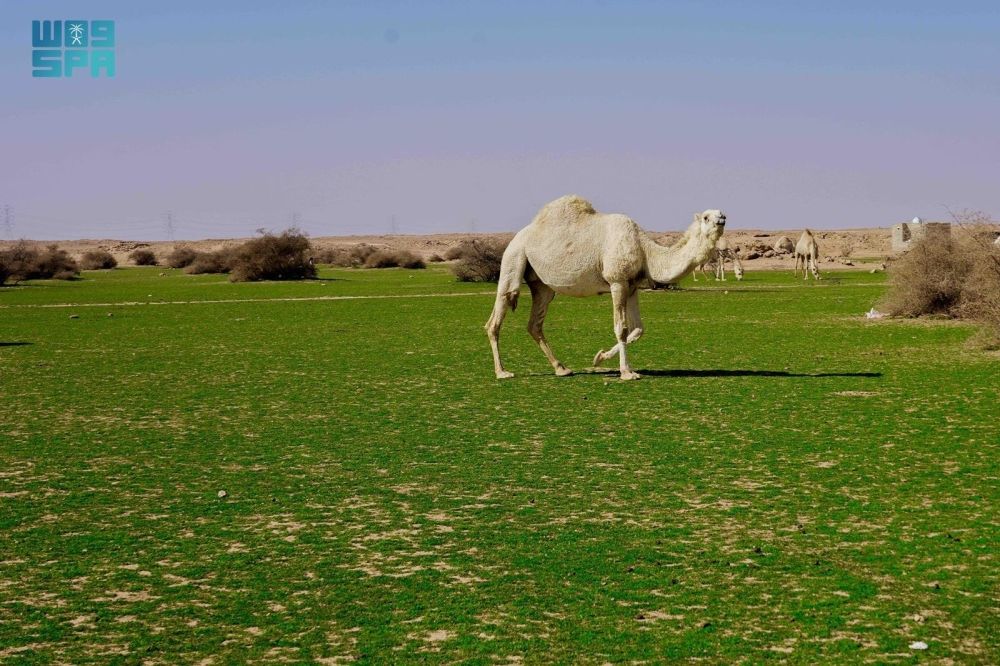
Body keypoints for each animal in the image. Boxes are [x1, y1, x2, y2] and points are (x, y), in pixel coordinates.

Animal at [486, 193, 728, 378]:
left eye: (721, 213)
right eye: (706, 216)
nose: (722, 218)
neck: (645, 251)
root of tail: (520, 235)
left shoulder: (632, 286)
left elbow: (638, 329)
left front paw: (599, 358)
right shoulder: (617, 281)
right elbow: (621, 328)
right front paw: (627, 373)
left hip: (542, 285)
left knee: (535, 323)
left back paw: (562, 368)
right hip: (514, 257)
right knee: (498, 313)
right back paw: (502, 372)